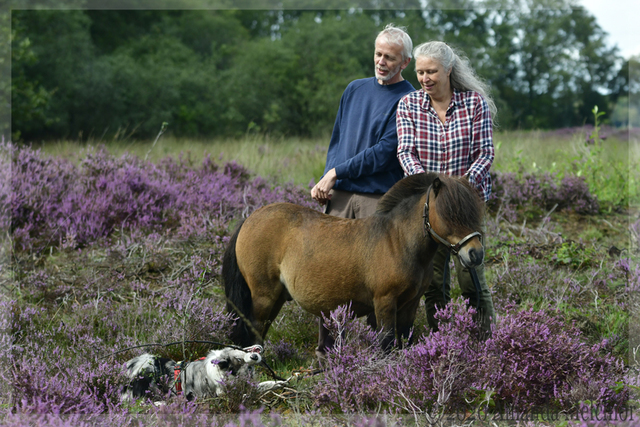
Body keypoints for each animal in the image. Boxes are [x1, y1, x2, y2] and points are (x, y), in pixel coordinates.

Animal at [222, 172, 482, 352]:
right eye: (449, 214)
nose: (475, 254)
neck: (397, 240)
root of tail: (250, 218)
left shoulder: (410, 302)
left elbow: (405, 338)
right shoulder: (385, 302)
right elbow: (387, 341)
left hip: (276, 297)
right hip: (263, 295)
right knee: (255, 327)